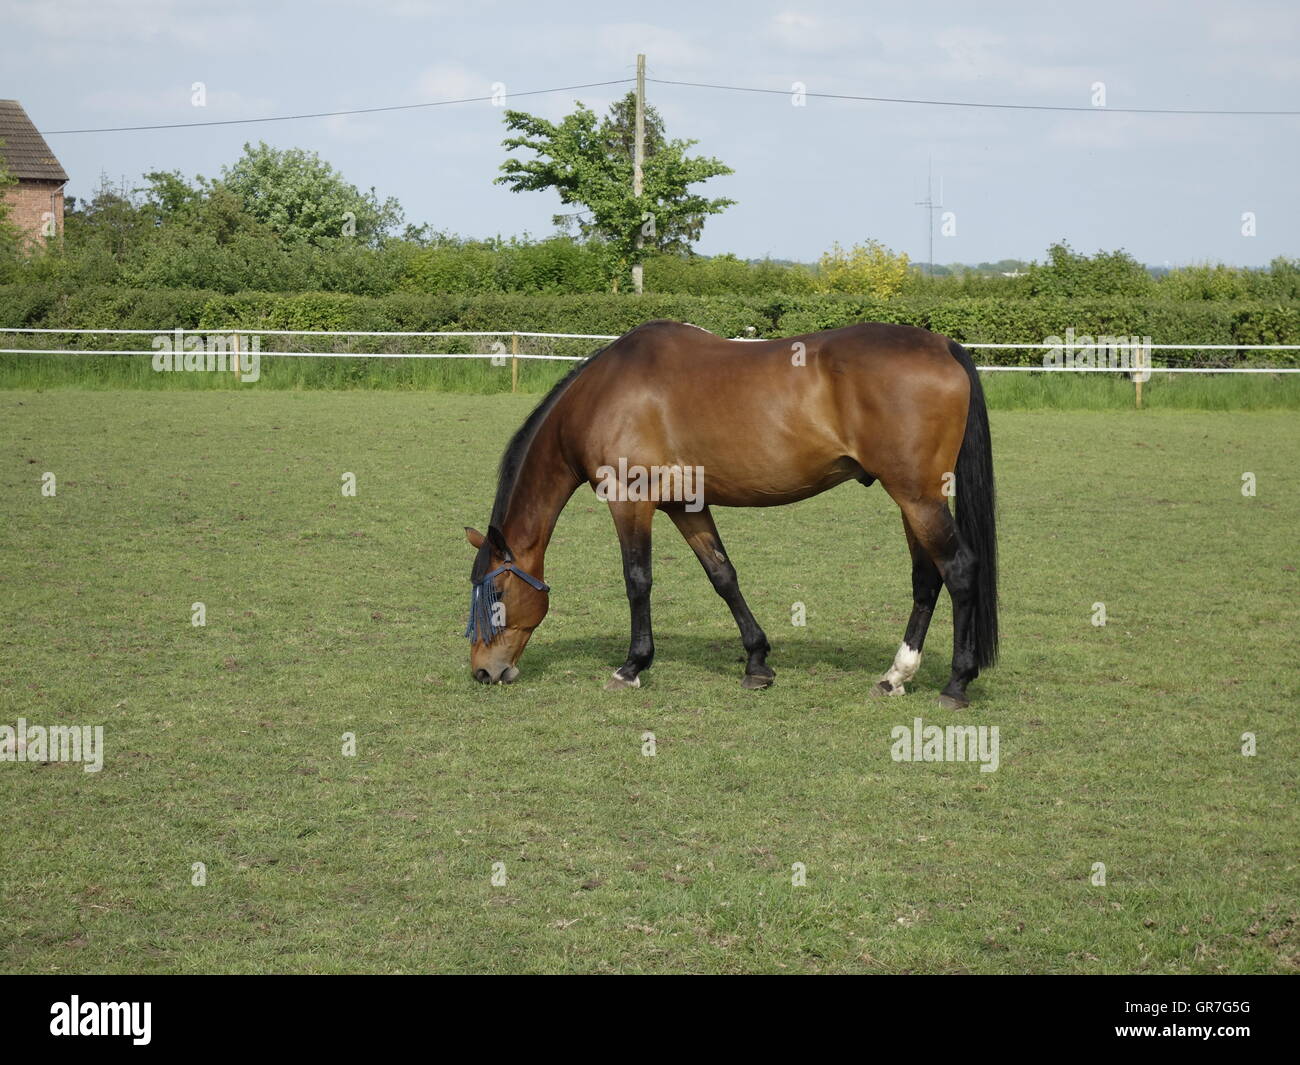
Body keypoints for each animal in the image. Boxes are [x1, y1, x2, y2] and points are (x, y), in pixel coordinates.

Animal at [462, 321, 998, 712]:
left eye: (497, 593)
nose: (484, 672)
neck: (605, 394)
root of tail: (942, 345)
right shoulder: (686, 504)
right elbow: (722, 575)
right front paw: (757, 662)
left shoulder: (629, 500)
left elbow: (638, 580)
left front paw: (632, 667)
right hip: (913, 499)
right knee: (926, 579)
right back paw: (894, 677)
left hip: (917, 497)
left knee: (959, 571)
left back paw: (955, 684)